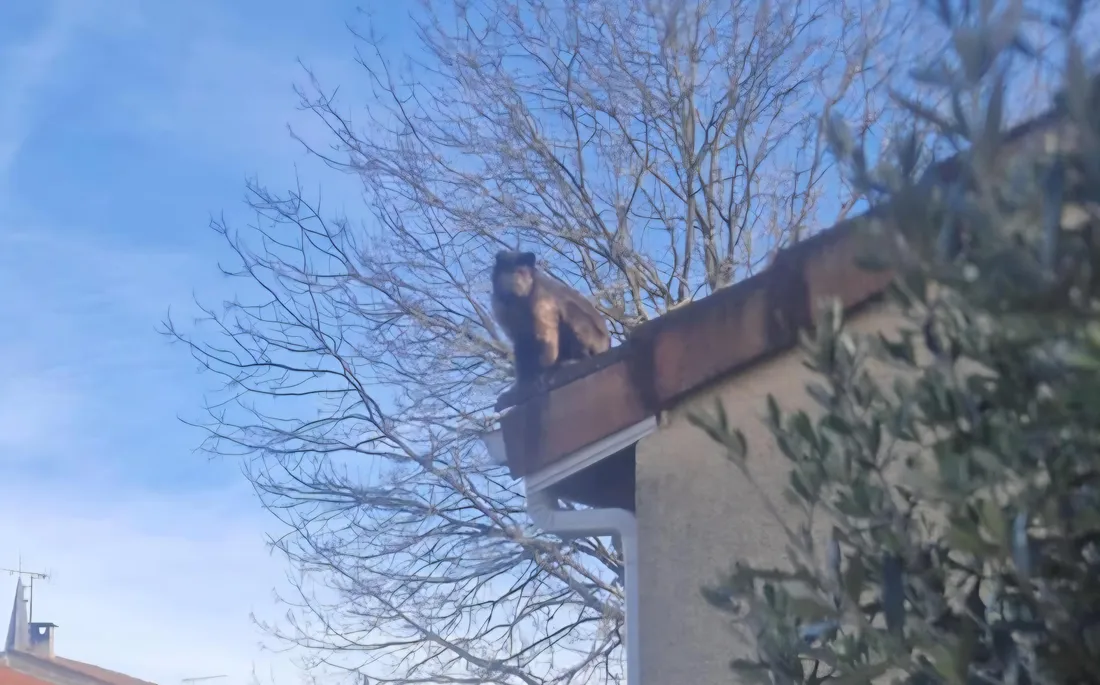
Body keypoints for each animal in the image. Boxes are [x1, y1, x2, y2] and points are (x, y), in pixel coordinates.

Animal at [491, 250, 611, 387]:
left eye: (522, 271)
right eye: (509, 269)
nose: (516, 279)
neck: (517, 299)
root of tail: (607, 342)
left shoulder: (541, 298)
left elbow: (547, 334)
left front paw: (546, 371)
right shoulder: (500, 307)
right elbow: (520, 340)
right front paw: (522, 381)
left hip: (596, 340)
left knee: (568, 307)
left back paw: (577, 358)